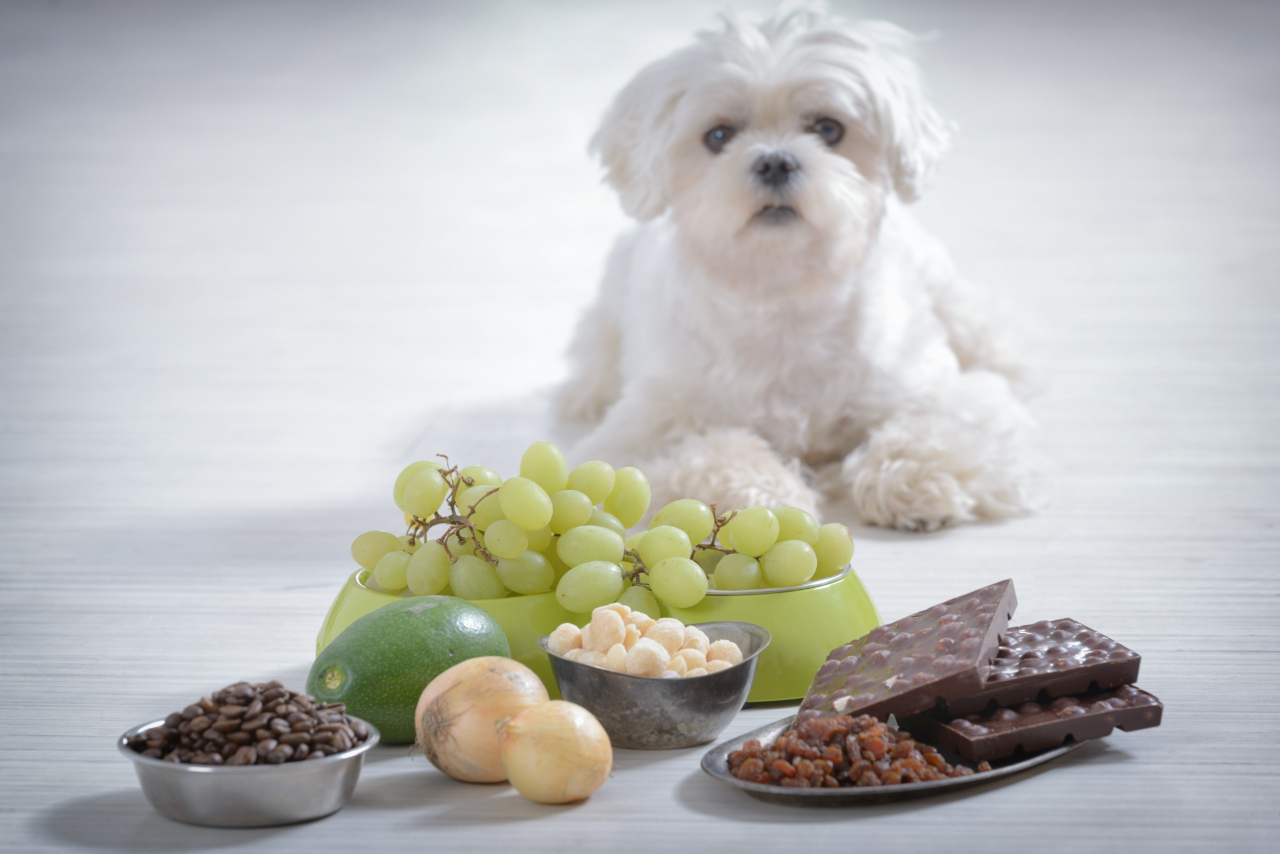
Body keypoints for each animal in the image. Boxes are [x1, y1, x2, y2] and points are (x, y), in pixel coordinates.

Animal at [558, 3, 1039, 530]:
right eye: (718, 136)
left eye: (828, 129)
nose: (774, 162)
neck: (782, 296)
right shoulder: (645, 431)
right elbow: (711, 453)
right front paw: (760, 498)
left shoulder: (942, 394)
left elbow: (935, 429)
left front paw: (912, 479)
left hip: (958, 307)